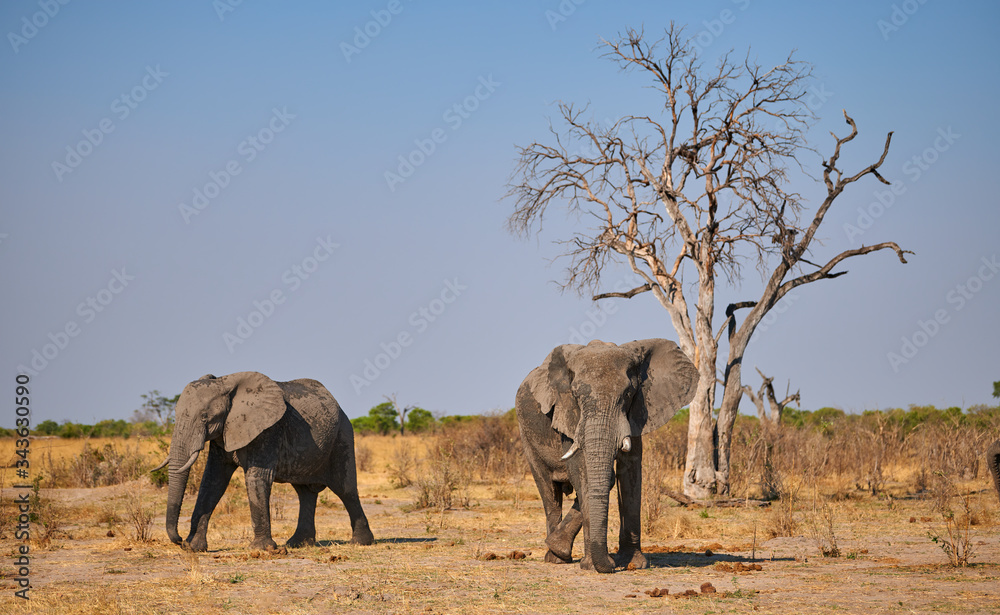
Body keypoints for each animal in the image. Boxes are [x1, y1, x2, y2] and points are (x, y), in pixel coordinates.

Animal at [159, 372, 374, 551]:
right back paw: (298, 544)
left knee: (345, 489)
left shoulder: (268, 430)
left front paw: (262, 549)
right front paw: (193, 548)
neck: (225, 382)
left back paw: (360, 542)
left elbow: (257, 477)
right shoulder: (223, 434)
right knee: (305, 492)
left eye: (205, 417)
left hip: (342, 435)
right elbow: (212, 481)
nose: (179, 540)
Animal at [515, 339, 698, 573]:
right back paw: (556, 557)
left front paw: (633, 563)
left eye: (628, 394)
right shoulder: (567, 412)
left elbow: (630, 472)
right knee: (549, 492)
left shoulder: (637, 412)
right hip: (526, 434)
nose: (611, 564)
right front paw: (591, 566)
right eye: (576, 395)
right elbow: (581, 470)